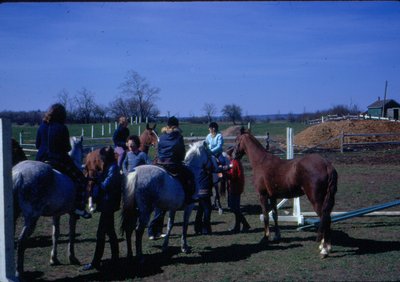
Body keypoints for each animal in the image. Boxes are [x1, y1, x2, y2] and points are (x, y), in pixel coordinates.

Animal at [12, 137, 83, 278]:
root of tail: (19, 174)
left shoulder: (56, 213)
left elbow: (56, 234)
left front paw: (53, 259)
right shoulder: (72, 213)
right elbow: (71, 233)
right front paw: (72, 257)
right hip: (32, 218)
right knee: (21, 241)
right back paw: (19, 271)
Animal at [233, 128, 336, 258]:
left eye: (237, 140)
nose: (234, 155)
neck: (261, 162)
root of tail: (327, 165)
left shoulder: (262, 196)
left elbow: (266, 216)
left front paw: (265, 238)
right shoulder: (272, 197)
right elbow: (274, 215)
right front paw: (277, 236)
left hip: (316, 201)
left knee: (324, 218)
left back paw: (324, 250)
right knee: (327, 219)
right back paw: (325, 246)